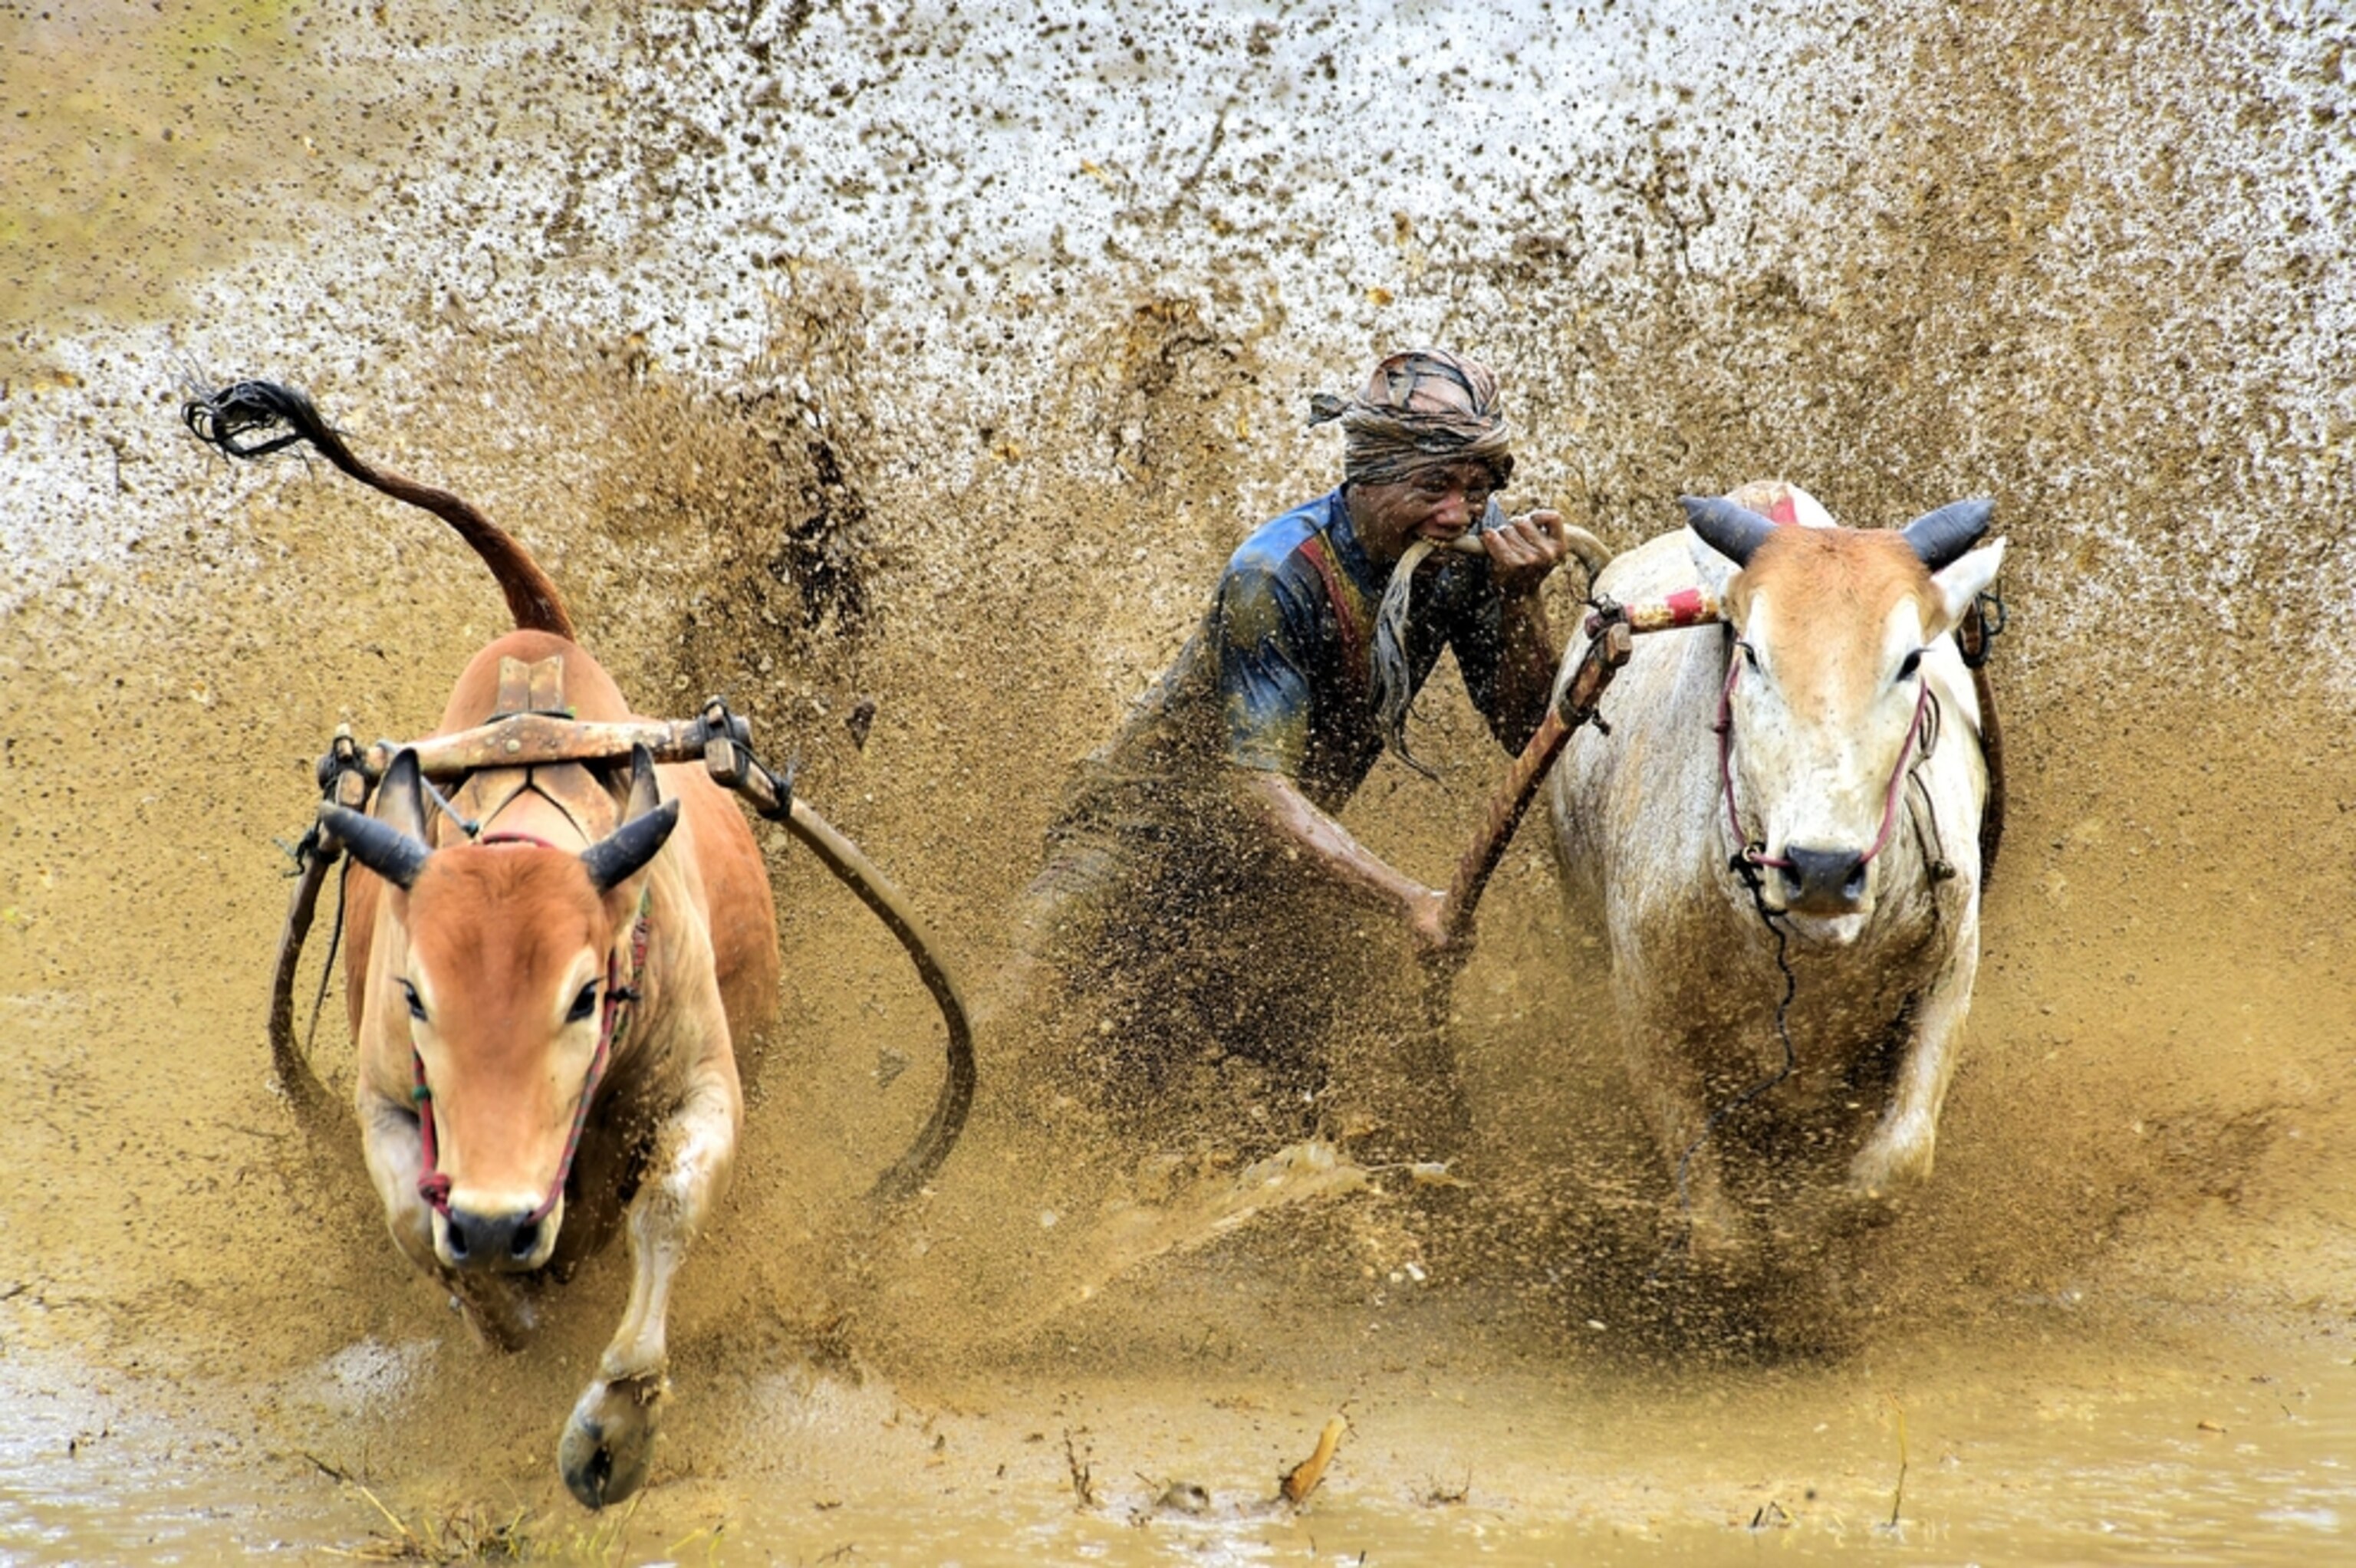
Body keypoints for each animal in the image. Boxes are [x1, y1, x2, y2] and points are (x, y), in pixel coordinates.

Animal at [186, 381, 779, 1509]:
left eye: (586, 996)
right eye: (417, 996)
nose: (501, 1220)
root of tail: (536, 633)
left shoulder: (704, 1084)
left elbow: (668, 1209)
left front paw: (614, 1425)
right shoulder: (386, 1101)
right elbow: (420, 1229)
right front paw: (504, 1308)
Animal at [1546, 480, 2005, 1266]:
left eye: (1910, 660)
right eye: (1753, 654)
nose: (1822, 869)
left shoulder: (1953, 963)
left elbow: (1896, 1164)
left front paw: (1810, 1230)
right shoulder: (1643, 1004)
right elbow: (1712, 1224)